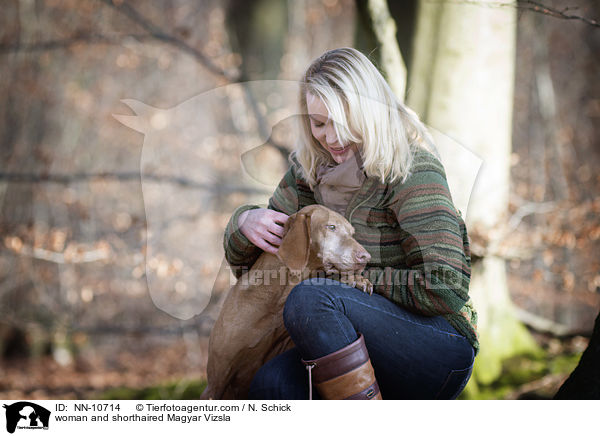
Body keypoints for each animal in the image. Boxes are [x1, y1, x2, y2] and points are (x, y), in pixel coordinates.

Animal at [200, 204, 370, 398]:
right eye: (331, 227)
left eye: (352, 233)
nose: (366, 257)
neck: (277, 298)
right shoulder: (216, 381)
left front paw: (356, 279)